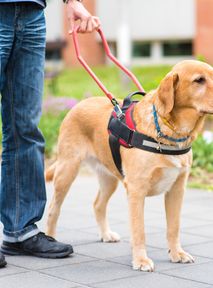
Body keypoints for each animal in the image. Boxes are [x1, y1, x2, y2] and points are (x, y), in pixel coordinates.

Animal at [45, 59, 213, 272]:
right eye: (199, 80)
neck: (170, 132)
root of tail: (79, 103)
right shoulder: (136, 190)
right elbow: (139, 230)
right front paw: (141, 260)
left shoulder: (177, 189)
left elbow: (174, 227)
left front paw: (177, 253)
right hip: (67, 170)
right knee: (53, 208)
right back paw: (51, 239)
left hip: (109, 179)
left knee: (98, 204)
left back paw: (106, 234)